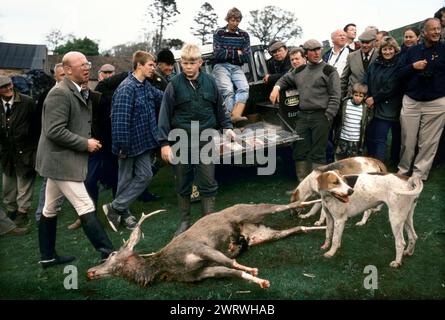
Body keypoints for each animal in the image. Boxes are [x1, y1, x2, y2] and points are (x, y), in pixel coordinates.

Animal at [86, 202, 322, 288]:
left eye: (112, 255)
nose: (90, 272)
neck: (164, 267)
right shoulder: (202, 273)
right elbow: (230, 271)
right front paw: (260, 280)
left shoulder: (199, 248)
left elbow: (231, 262)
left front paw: (252, 269)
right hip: (264, 234)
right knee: (297, 228)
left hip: (252, 210)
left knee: (288, 204)